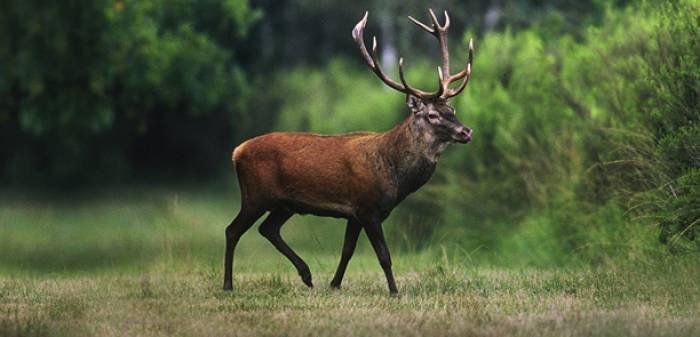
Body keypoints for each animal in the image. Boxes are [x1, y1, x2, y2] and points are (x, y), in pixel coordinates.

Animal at [224, 9, 476, 292]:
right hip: (255, 194)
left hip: (285, 204)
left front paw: (334, 284)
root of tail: (237, 151)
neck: (394, 174)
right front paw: (394, 291)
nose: (466, 131)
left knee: (267, 229)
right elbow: (384, 255)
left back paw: (307, 275)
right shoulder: (367, 206)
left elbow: (347, 250)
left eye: (452, 109)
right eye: (432, 114)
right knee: (232, 230)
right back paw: (228, 284)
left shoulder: (354, 213)